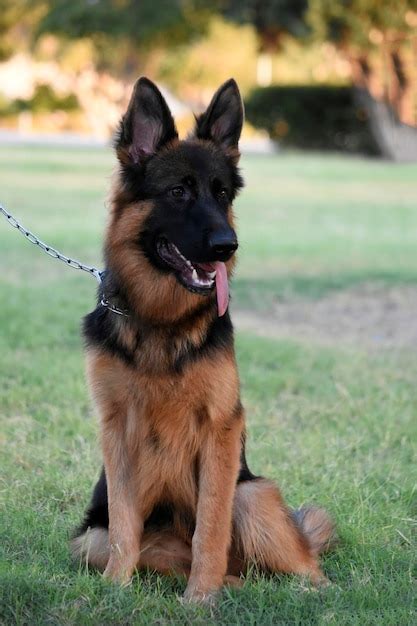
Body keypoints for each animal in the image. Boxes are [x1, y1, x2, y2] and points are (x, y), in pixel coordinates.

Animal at [70, 75, 334, 604]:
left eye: (223, 193)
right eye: (178, 192)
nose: (227, 246)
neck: (160, 321)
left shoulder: (220, 429)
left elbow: (209, 526)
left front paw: (200, 599)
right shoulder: (117, 431)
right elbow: (124, 525)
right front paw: (116, 589)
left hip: (251, 494)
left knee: (305, 565)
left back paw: (312, 594)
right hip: (90, 539)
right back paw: (232, 587)